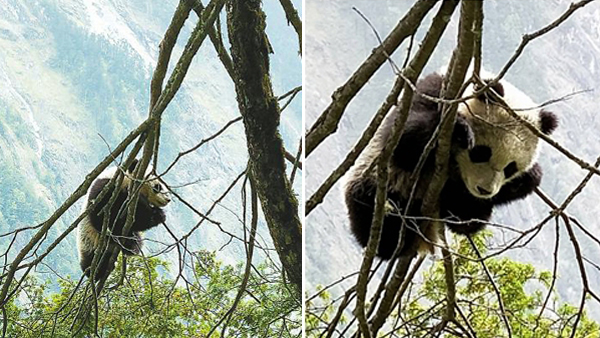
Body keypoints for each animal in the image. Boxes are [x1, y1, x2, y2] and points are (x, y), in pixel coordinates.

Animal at [344, 72, 560, 258]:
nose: (484, 190)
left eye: (510, 168)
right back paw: (396, 235)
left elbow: (466, 218)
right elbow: (402, 140)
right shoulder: (434, 91)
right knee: (379, 220)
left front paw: (527, 178)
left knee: (466, 216)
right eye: (481, 153)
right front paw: (460, 130)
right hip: (378, 184)